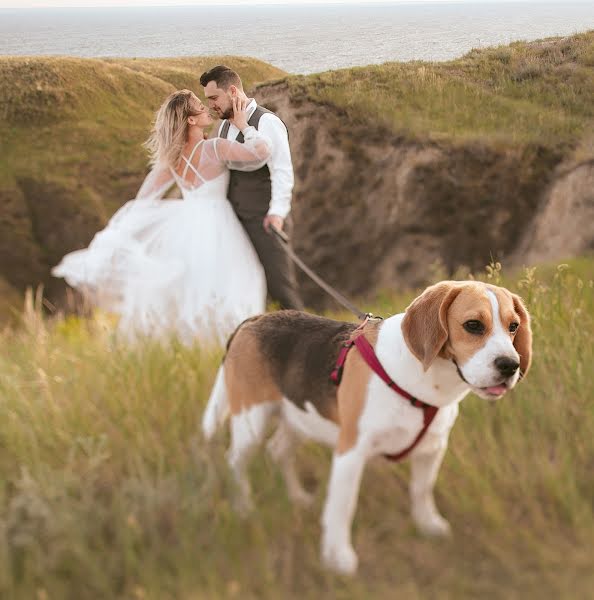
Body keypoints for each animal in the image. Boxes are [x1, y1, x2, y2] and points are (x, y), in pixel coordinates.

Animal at [201, 282, 528, 576]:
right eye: (473, 325)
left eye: (513, 327)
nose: (510, 365)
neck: (422, 381)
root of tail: (252, 320)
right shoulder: (351, 452)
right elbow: (342, 506)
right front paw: (337, 557)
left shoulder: (432, 449)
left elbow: (422, 489)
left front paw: (428, 524)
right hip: (251, 420)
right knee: (235, 461)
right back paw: (244, 507)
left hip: (299, 417)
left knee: (278, 450)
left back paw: (297, 498)